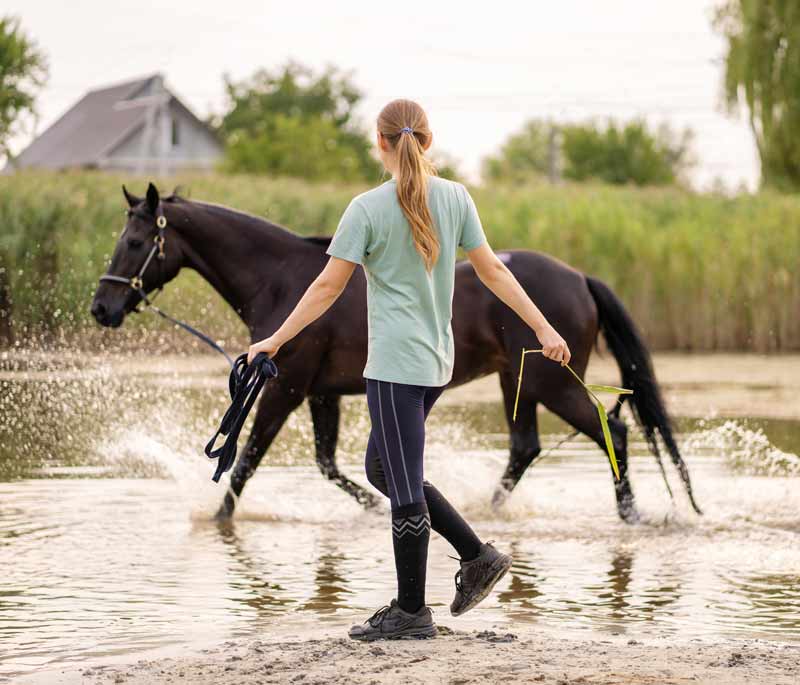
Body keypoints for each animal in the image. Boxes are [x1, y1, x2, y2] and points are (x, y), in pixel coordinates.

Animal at [89, 184, 700, 520]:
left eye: (137, 242)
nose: (102, 306)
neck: (283, 281)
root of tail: (578, 277)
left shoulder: (284, 389)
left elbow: (244, 463)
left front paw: (218, 519)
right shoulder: (321, 395)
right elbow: (327, 465)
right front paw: (378, 506)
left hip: (552, 385)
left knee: (610, 431)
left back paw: (631, 514)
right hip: (518, 384)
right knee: (525, 449)